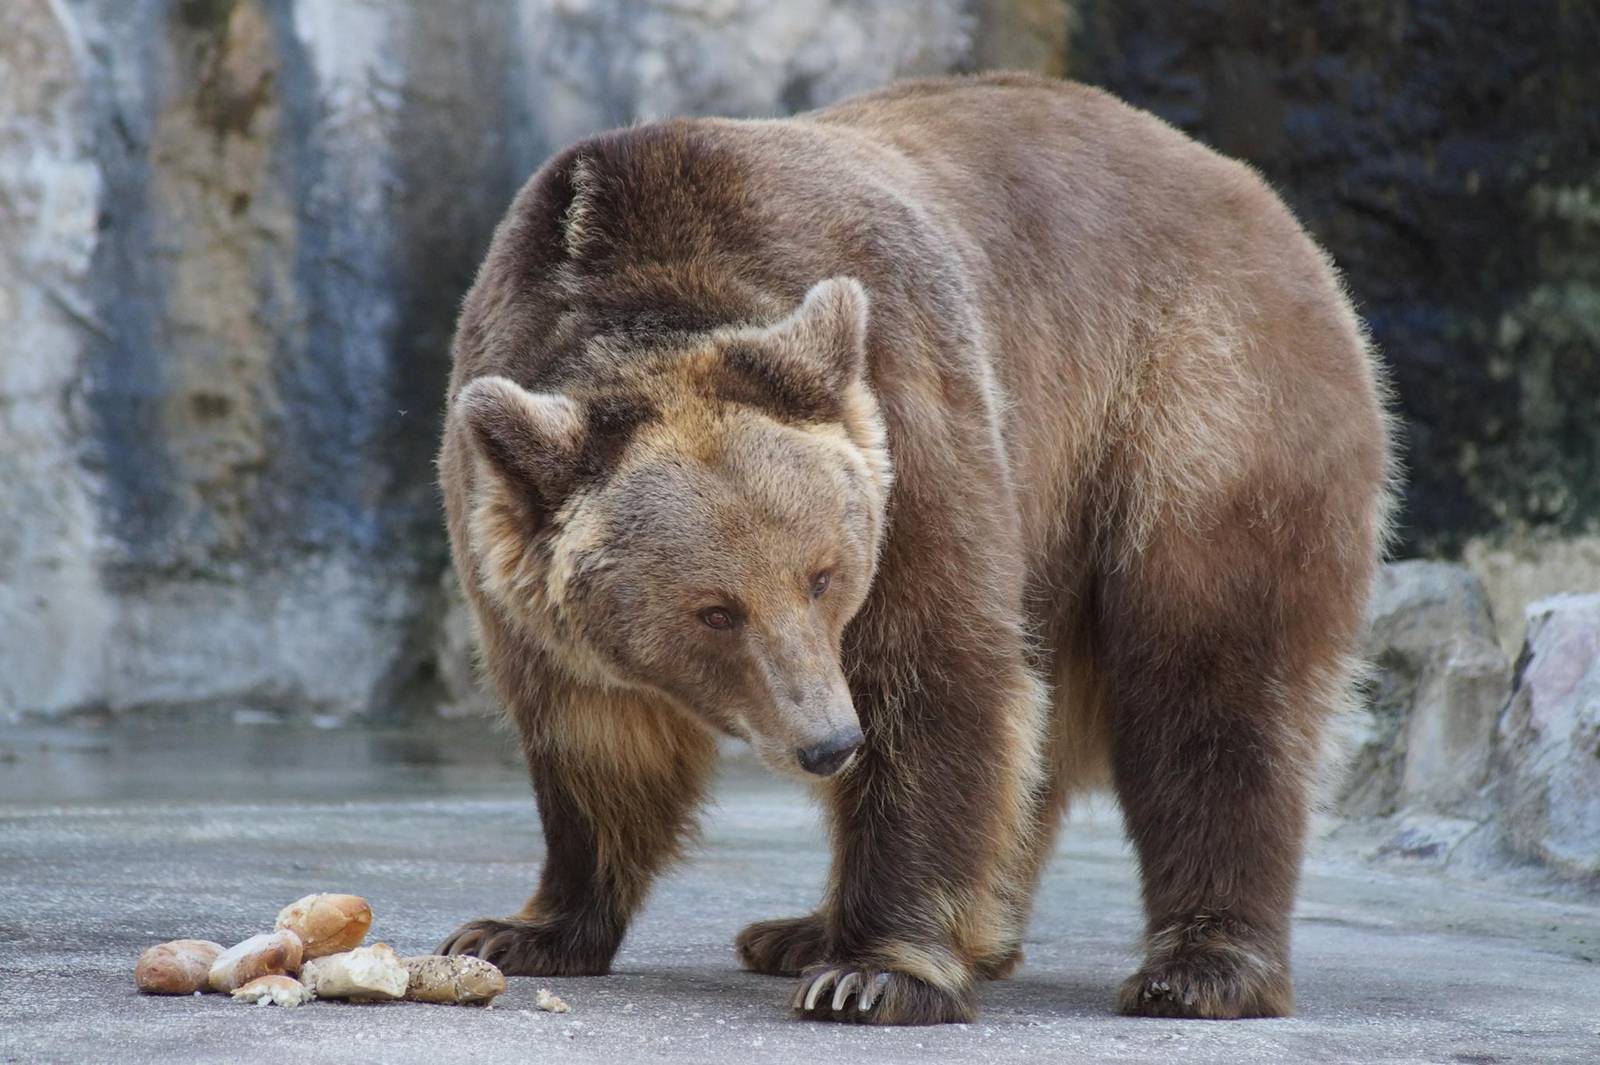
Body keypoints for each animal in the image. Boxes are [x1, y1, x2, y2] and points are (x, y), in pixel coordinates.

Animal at [435, 72, 1395, 1025]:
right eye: (714, 610)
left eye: (822, 575)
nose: (827, 742)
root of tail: (1260, 198)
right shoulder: (507, 521)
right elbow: (591, 736)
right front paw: (521, 928)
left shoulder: (908, 415)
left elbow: (934, 671)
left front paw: (878, 972)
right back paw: (819, 929)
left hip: (1196, 407)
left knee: (1210, 680)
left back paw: (1203, 965)